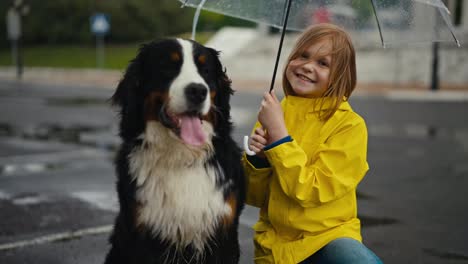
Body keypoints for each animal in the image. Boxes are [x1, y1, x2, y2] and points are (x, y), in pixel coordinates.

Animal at [104, 37, 247, 264]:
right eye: (168, 67)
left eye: (205, 70)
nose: (198, 91)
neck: (181, 157)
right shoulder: (143, 235)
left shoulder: (224, 234)